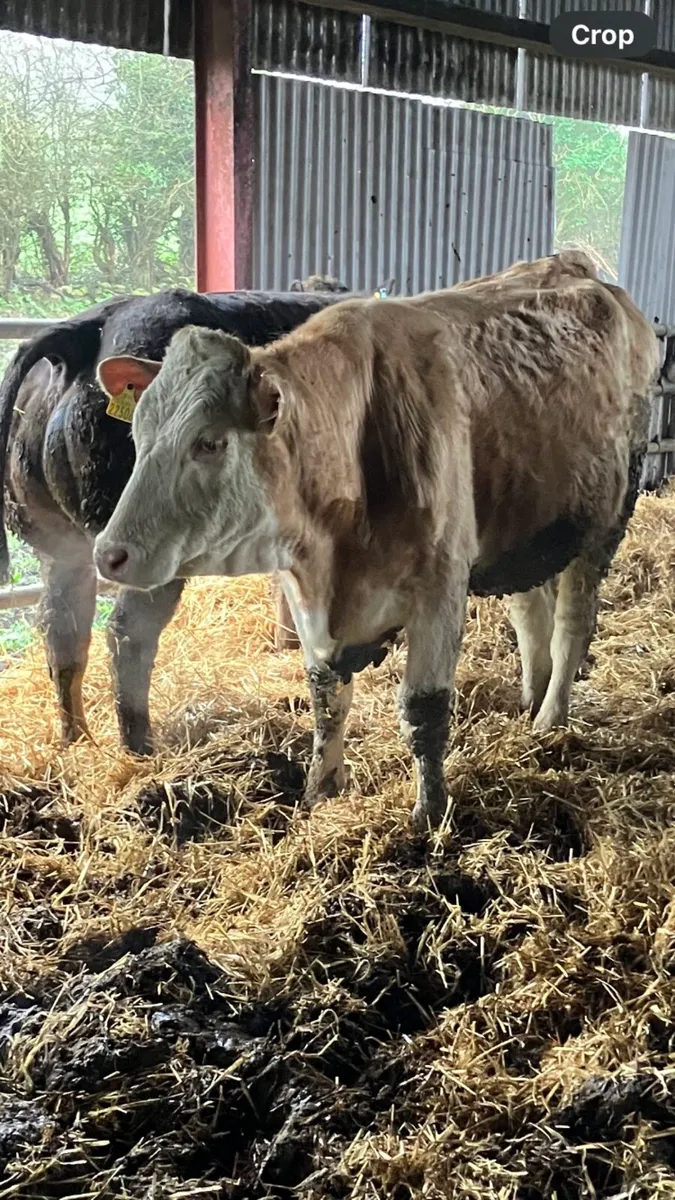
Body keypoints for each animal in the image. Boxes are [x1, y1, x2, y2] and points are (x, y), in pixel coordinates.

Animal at [92, 274, 659, 831]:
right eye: (138, 433)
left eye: (210, 442)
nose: (110, 554)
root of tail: (590, 277)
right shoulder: (307, 594)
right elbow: (326, 698)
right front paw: (320, 792)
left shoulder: (440, 587)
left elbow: (424, 709)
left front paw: (429, 814)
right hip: (528, 527)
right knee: (530, 611)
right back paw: (530, 699)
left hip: (606, 520)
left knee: (572, 625)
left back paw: (550, 718)